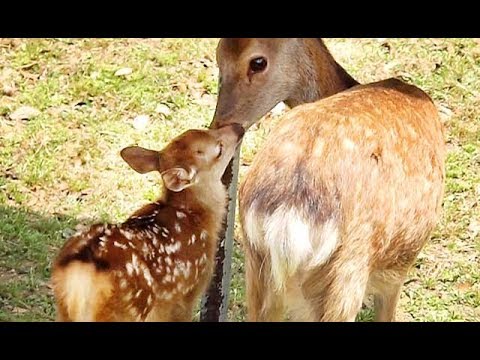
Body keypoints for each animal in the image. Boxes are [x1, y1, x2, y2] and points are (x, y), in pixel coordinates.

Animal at [210, 38, 446, 320]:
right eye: (219, 57)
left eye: (257, 62)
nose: (219, 125)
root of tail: (287, 215)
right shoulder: (400, 267)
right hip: (347, 276)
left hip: (257, 270)